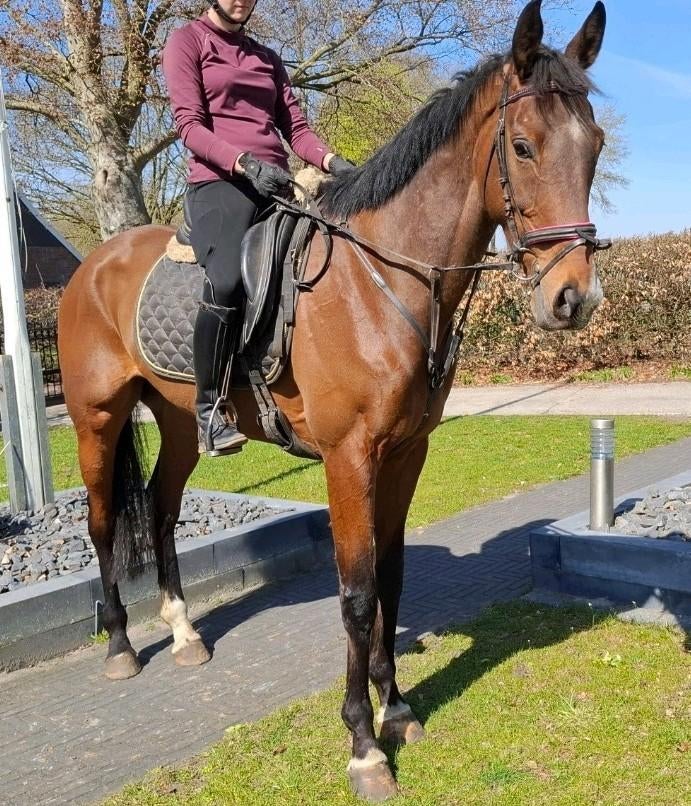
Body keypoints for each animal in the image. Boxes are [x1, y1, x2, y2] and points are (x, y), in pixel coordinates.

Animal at [58, 1, 608, 799]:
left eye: (594, 145)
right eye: (523, 146)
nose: (574, 299)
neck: (380, 282)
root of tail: (92, 265)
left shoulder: (406, 453)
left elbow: (390, 576)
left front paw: (397, 706)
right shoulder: (348, 459)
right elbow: (354, 592)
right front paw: (363, 744)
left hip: (183, 424)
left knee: (159, 510)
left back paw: (185, 630)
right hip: (96, 421)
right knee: (104, 524)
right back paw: (122, 646)